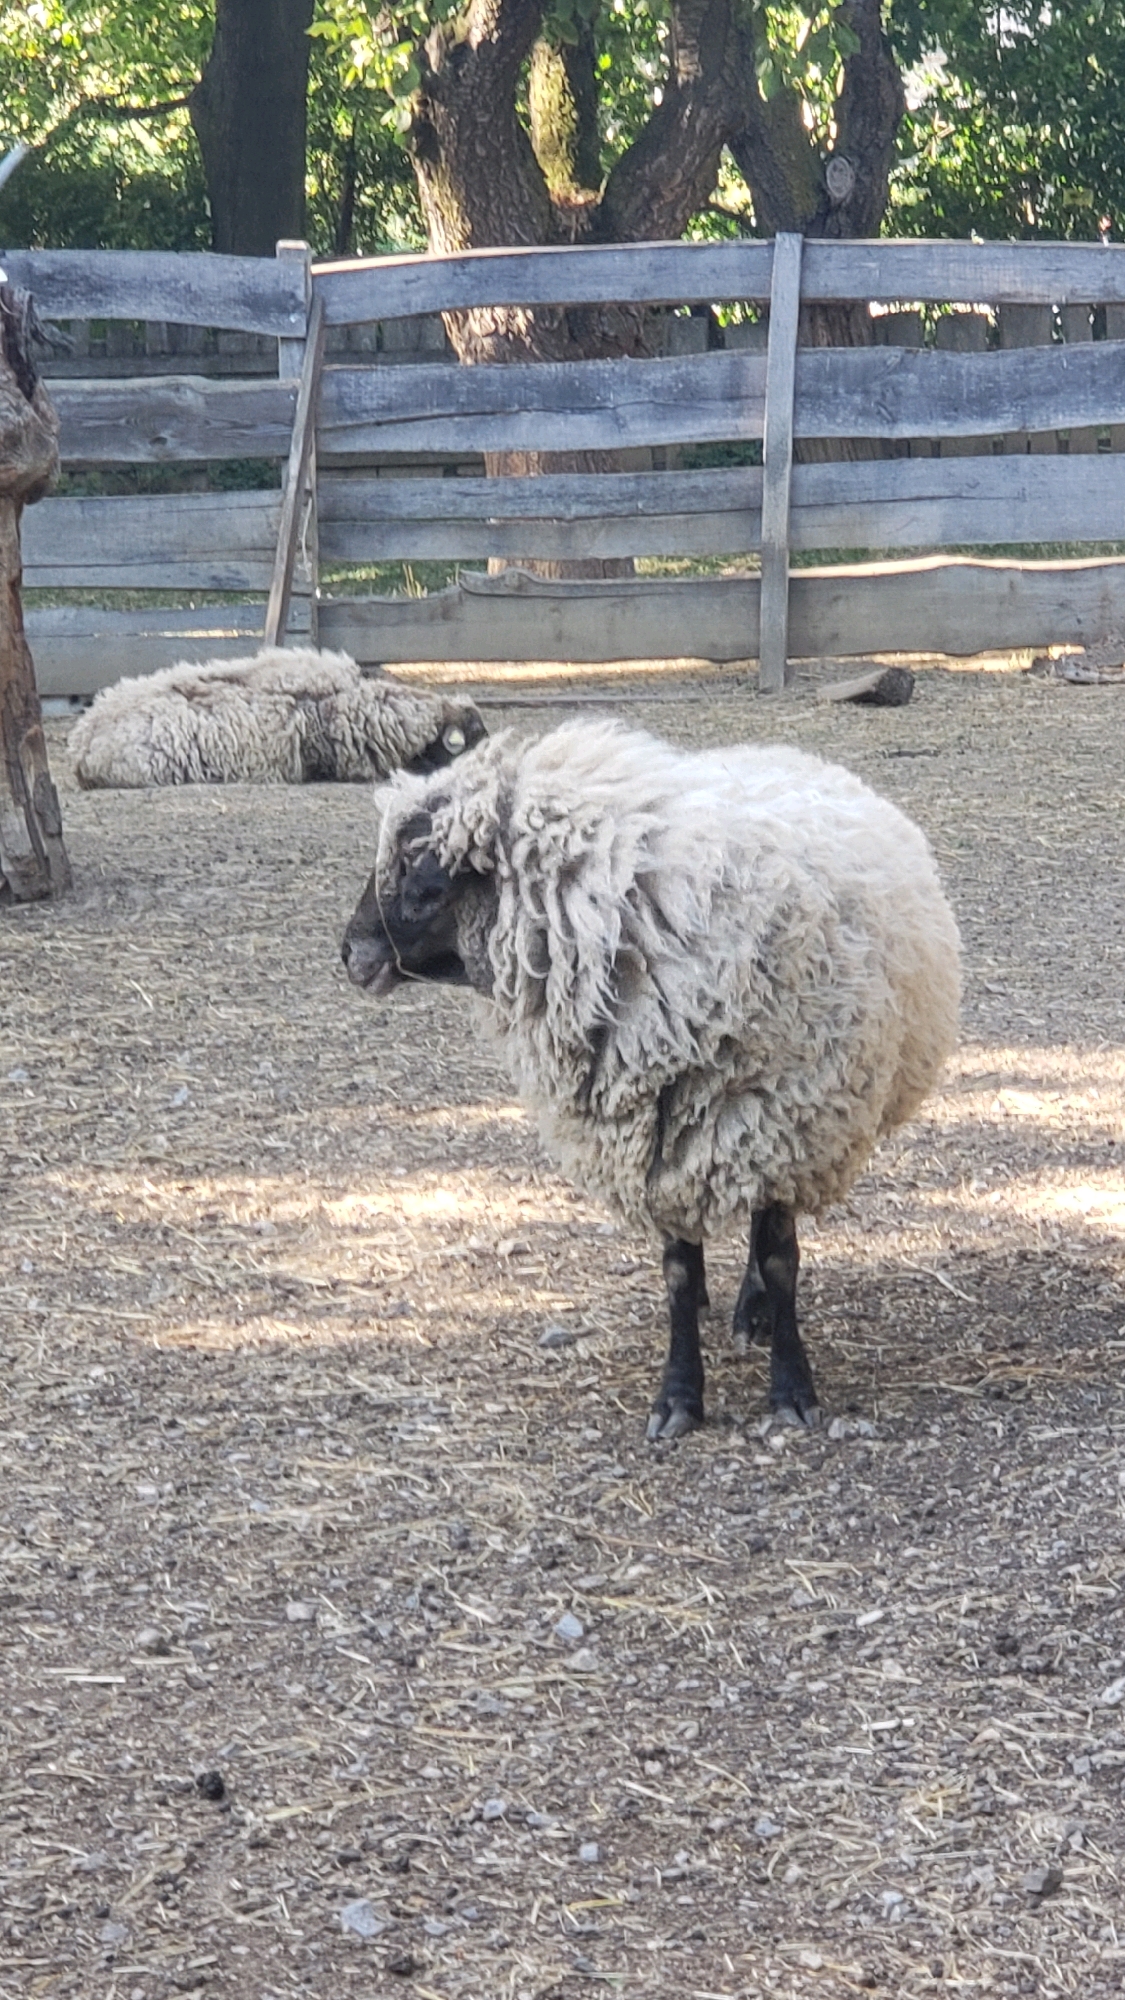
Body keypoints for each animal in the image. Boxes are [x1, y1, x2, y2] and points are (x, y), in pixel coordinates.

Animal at [340, 718, 961, 1438]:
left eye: (425, 881)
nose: (349, 955)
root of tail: (781, 750)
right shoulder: (651, 1134)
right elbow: (675, 1272)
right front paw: (679, 1396)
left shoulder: (786, 1123)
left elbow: (781, 1262)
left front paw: (790, 1387)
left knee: (762, 1238)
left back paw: (750, 1311)